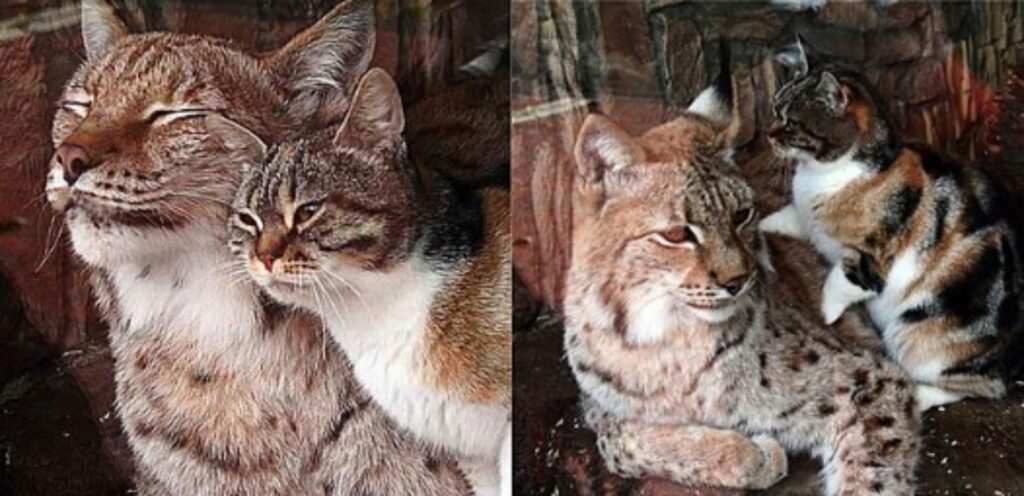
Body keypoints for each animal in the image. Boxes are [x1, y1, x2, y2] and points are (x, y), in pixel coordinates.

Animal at [565, 77, 925, 496]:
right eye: (676, 235)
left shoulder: (869, 375)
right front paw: (753, 454)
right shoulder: (598, 407)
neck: (666, 336)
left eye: (742, 215)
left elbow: (870, 478)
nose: (738, 281)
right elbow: (623, 444)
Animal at [765, 37, 1019, 409]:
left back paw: (921, 392)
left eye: (791, 123)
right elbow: (783, 219)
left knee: (982, 386)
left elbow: (838, 282)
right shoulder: (806, 219)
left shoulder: (871, 259)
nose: (768, 134)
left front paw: (826, 316)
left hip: (916, 333)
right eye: (774, 108)